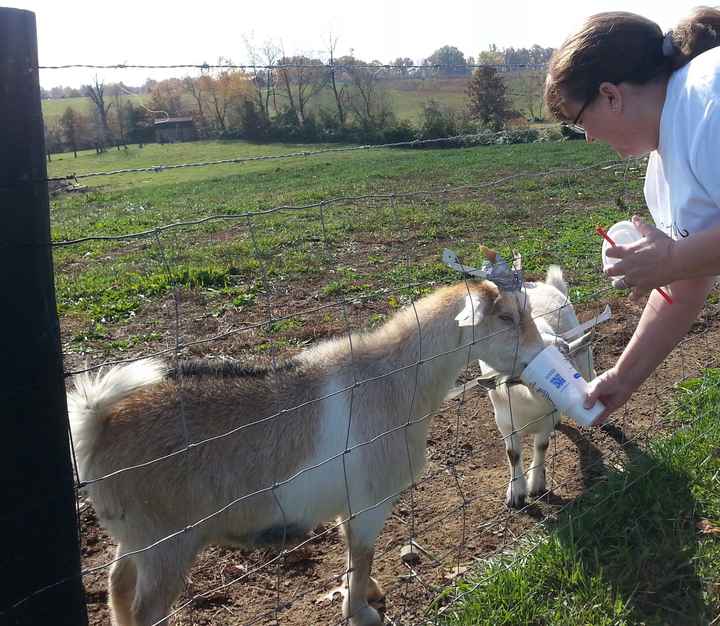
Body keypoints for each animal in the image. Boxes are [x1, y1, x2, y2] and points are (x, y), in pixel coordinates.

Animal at [69, 279, 545, 626]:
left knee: (117, 584)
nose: (539, 355)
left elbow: (353, 554)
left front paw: (365, 592)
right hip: (166, 542)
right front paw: (361, 611)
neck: (392, 378)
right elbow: (363, 552)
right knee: (145, 607)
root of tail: (99, 424)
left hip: (136, 536)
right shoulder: (369, 502)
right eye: (505, 316)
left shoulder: (348, 504)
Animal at [479, 266, 596, 509]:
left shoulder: (546, 419)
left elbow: (542, 446)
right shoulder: (505, 422)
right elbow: (513, 454)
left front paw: (536, 485)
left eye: (564, 352)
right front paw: (516, 493)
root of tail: (545, 284)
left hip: (584, 358)